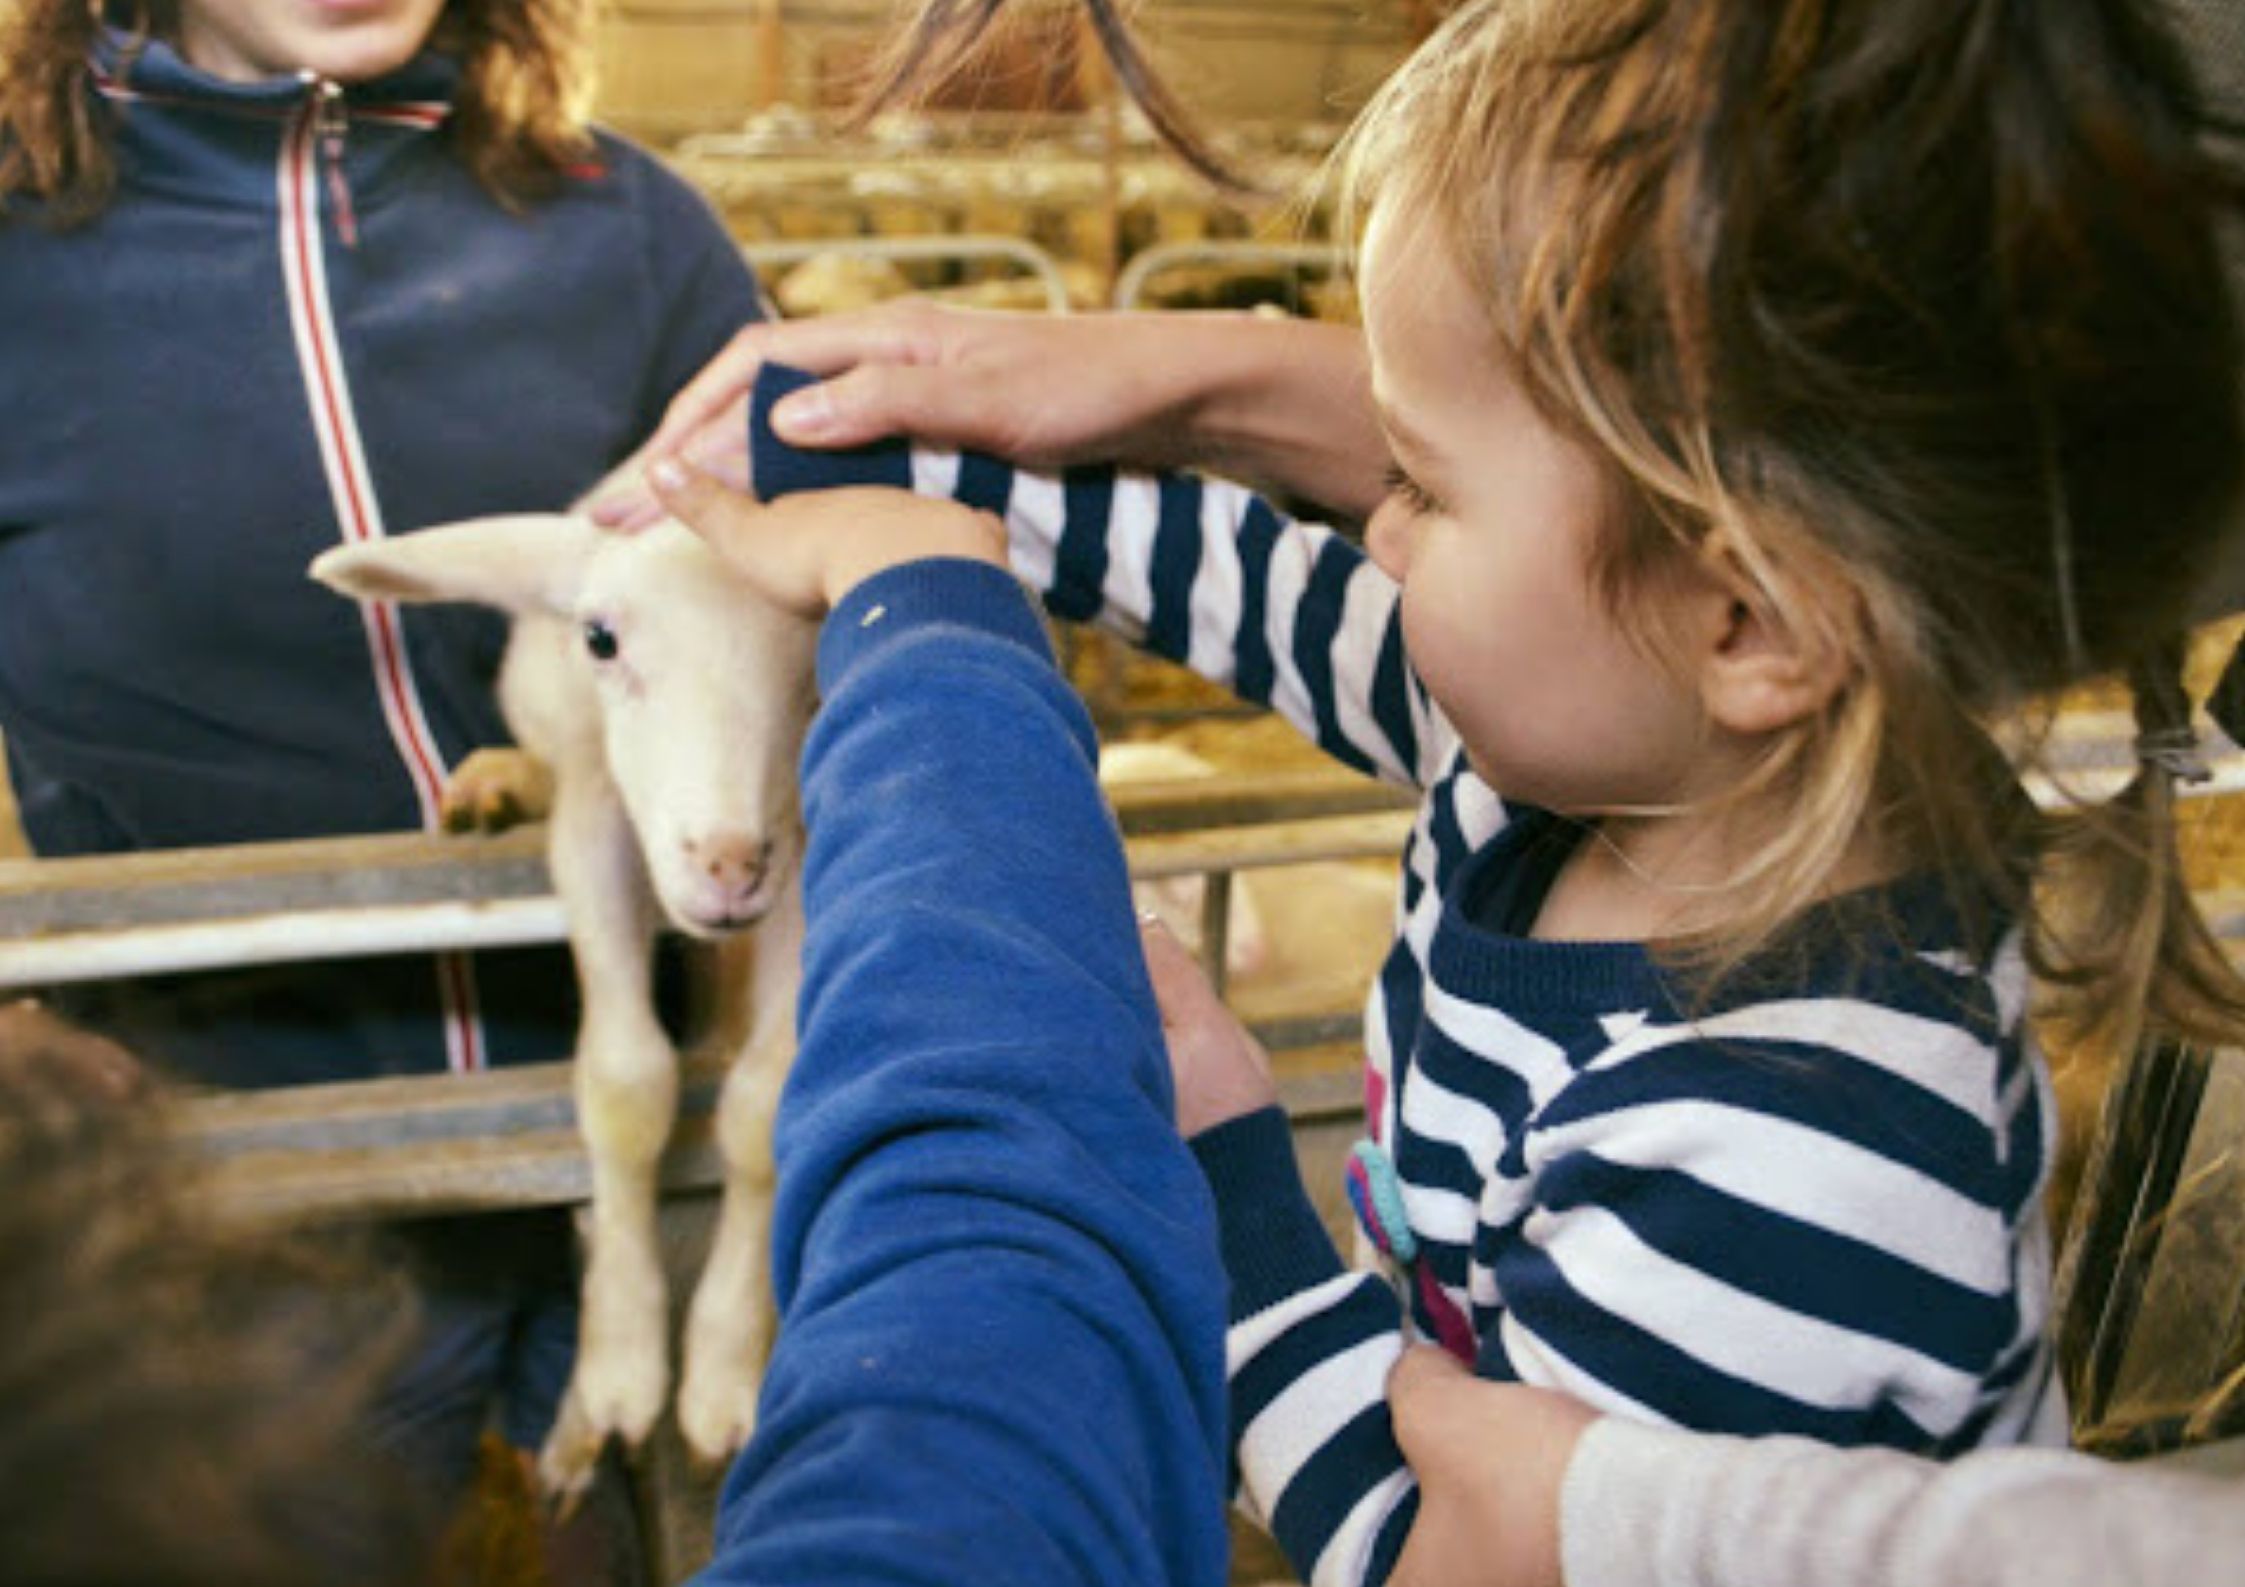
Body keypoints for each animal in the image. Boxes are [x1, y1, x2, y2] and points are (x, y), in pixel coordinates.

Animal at [312, 493, 812, 1499]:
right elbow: (626, 1088)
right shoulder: (596, 822)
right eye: (601, 639)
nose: (727, 862)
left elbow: (760, 1110)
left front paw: (721, 1369)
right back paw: (495, 784)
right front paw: (619, 1368)